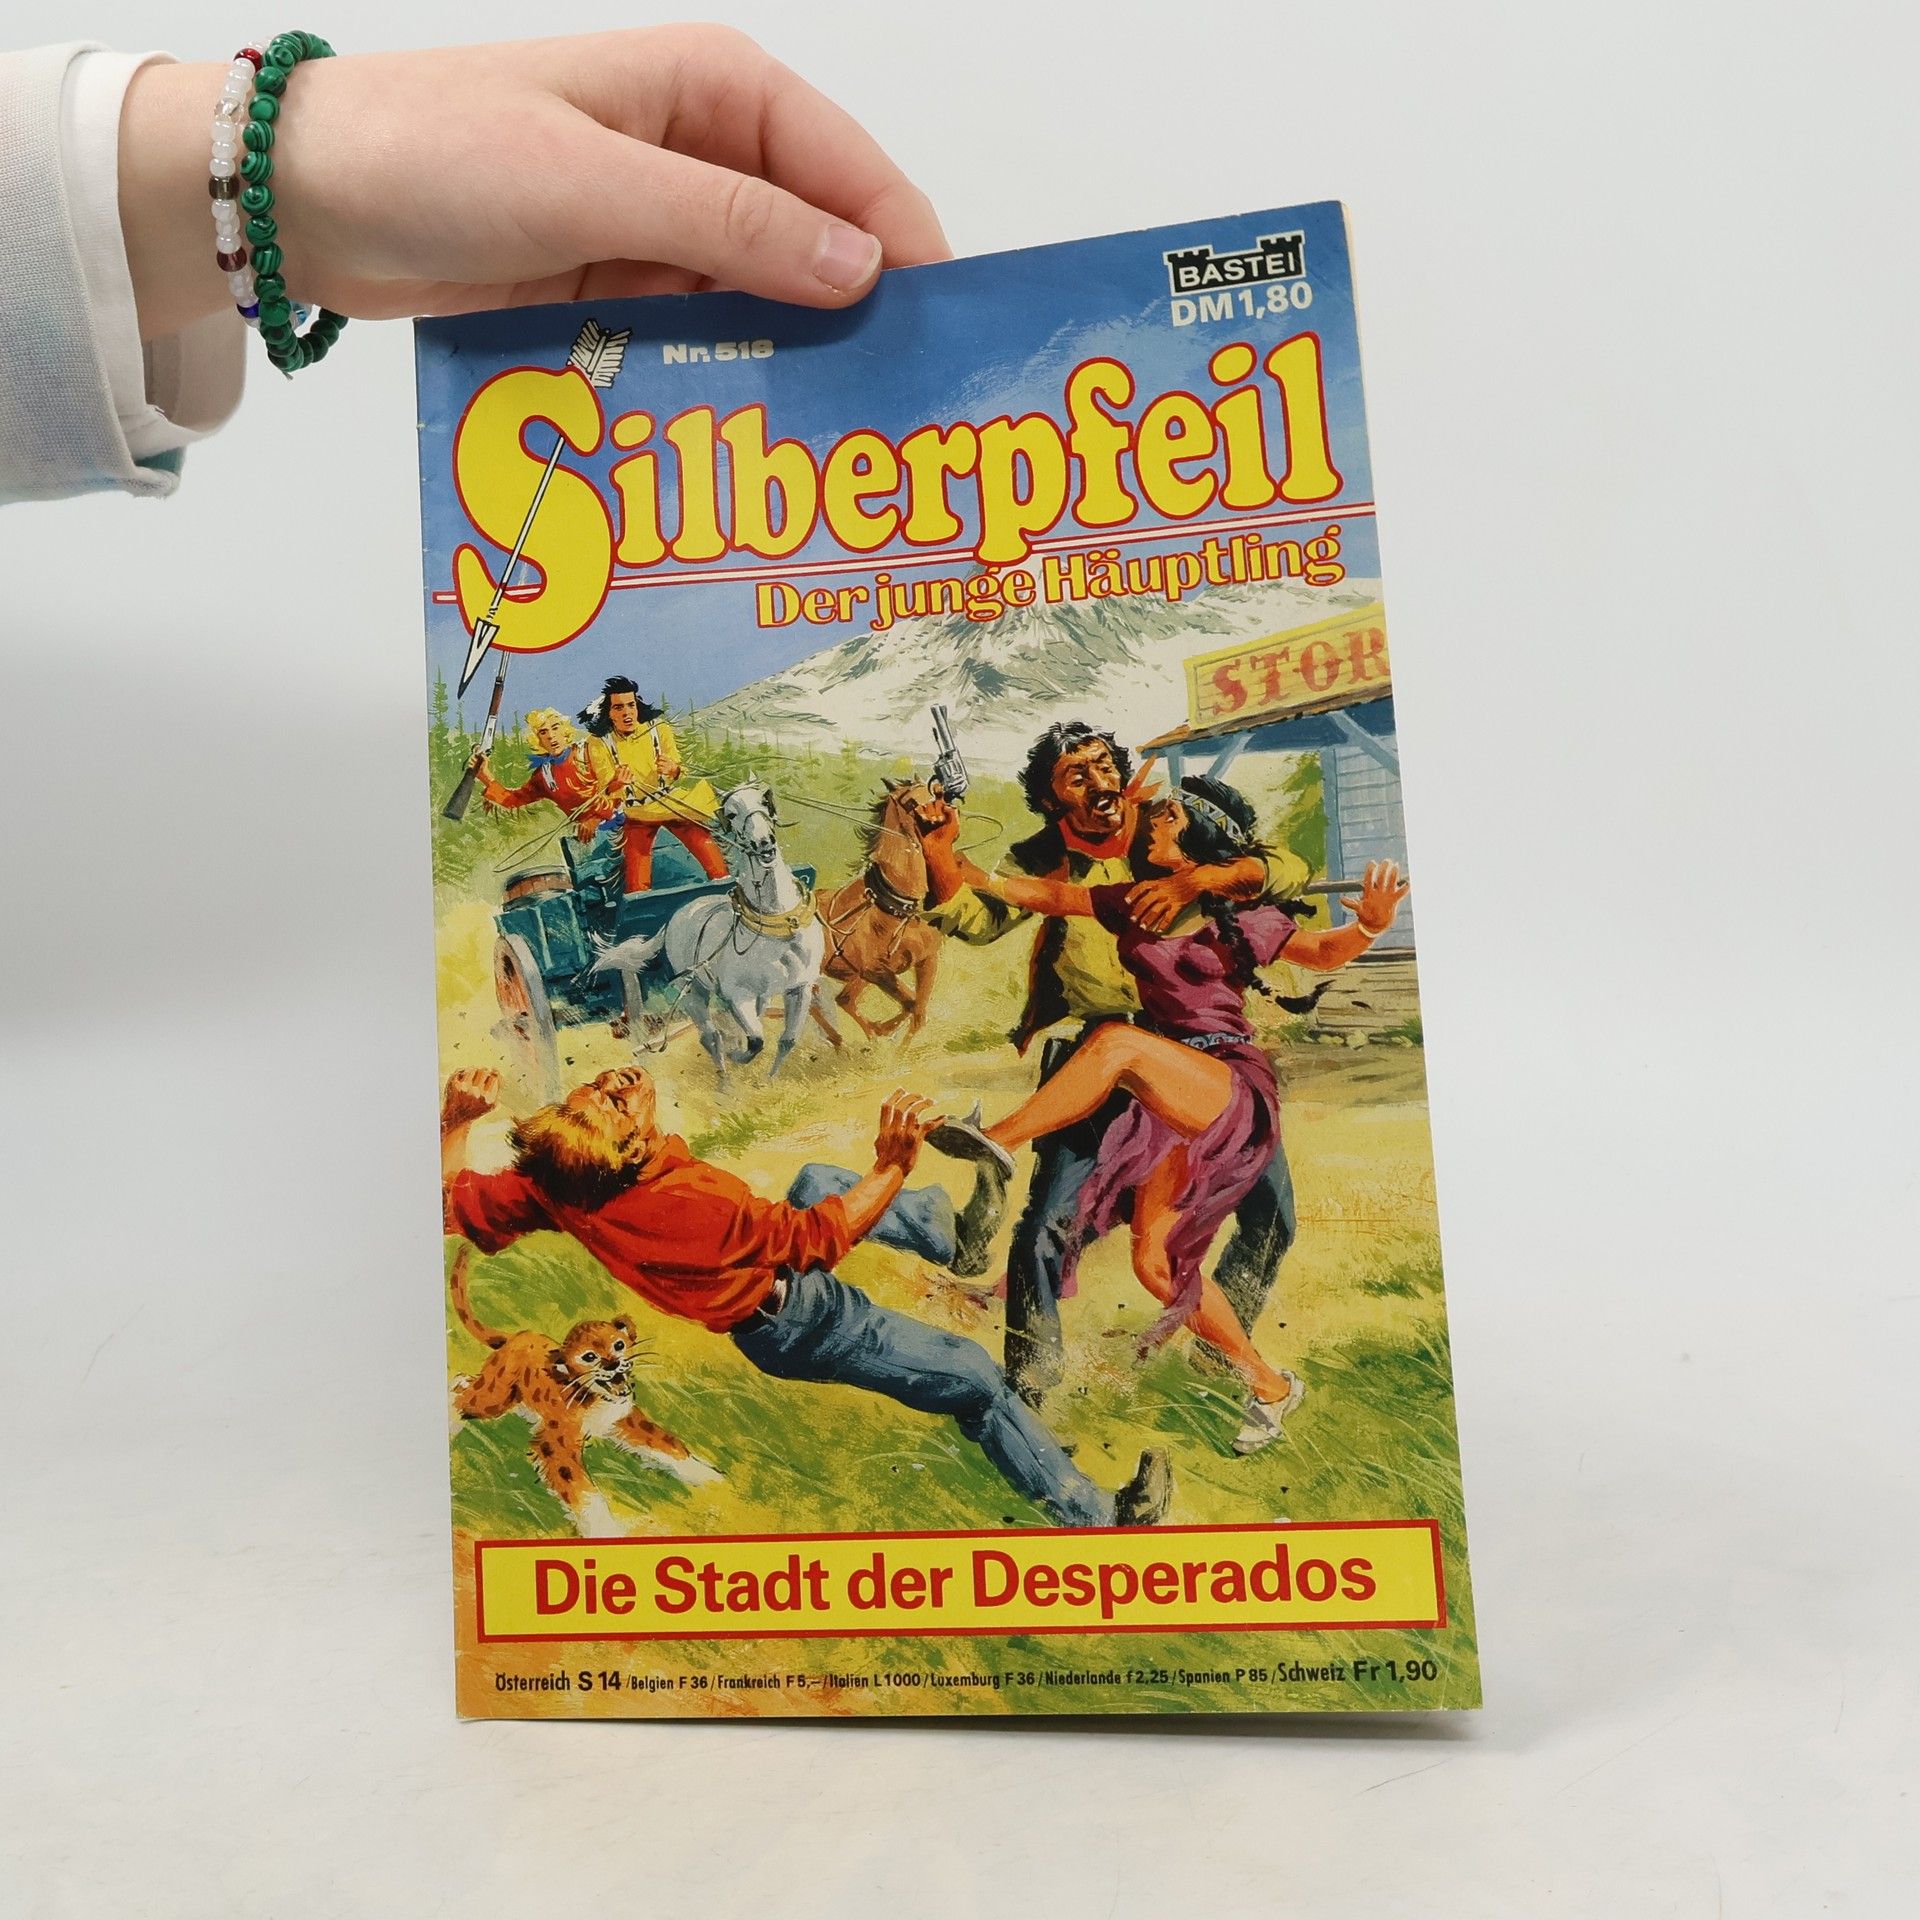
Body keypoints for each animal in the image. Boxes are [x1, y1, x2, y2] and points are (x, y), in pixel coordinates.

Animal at [592, 779, 824, 1079]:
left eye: (764, 802)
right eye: (732, 813)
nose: (764, 843)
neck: (778, 926)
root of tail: (676, 915)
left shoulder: (799, 988)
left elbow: (787, 1040)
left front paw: (770, 1080)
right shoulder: (738, 994)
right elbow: (755, 1040)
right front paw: (737, 1056)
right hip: (694, 990)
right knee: (710, 1037)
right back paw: (724, 1077)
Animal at [811, 777, 946, 1046]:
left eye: (936, 794)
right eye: (910, 802)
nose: (937, 825)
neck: (896, 906)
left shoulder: (927, 960)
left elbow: (918, 1010)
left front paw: (888, 1038)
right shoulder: (876, 971)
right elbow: (912, 1004)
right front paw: (886, 1039)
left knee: (843, 1000)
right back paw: (841, 1040)